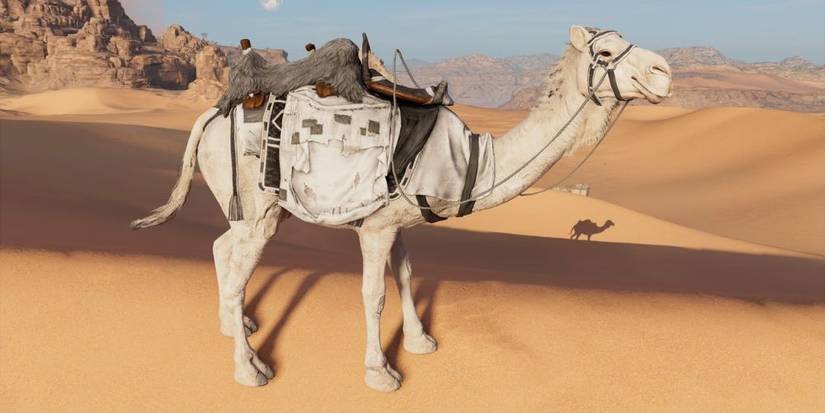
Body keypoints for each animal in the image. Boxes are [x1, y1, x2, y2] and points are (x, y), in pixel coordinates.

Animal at [131, 25, 672, 392]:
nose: (664, 73)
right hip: (255, 203)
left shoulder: (398, 221)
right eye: (605, 51)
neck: (474, 161)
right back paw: (251, 367)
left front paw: (420, 343)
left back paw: (235, 324)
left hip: (253, 206)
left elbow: (408, 274)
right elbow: (374, 294)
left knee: (223, 247)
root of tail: (212, 113)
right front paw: (381, 372)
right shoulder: (375, 228)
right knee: (239, 264)